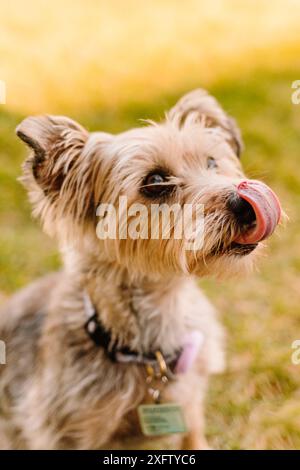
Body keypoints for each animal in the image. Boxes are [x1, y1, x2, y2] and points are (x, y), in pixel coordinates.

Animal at [0, 90, 282, 450]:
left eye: (212, 162)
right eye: (156, 181)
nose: (245, 203)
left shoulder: (190, 403)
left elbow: (194, 436)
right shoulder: (66, 434)